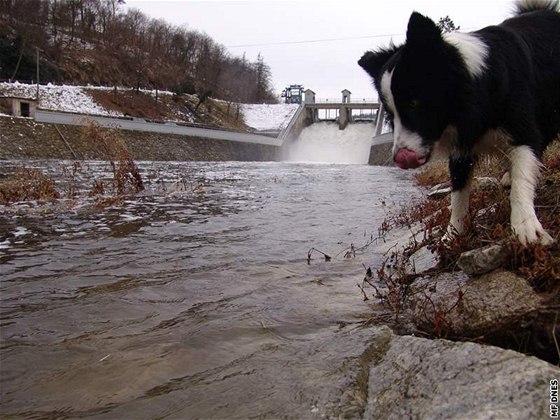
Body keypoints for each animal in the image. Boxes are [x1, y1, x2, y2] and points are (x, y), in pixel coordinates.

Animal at [360, 0, 556, 244]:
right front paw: (452, 234)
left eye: (414, 104)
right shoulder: (461, 148)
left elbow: (523, 175)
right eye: (389, 114)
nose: (400, 158)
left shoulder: (522, 128)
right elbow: (458, 194)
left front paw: (526, 226)